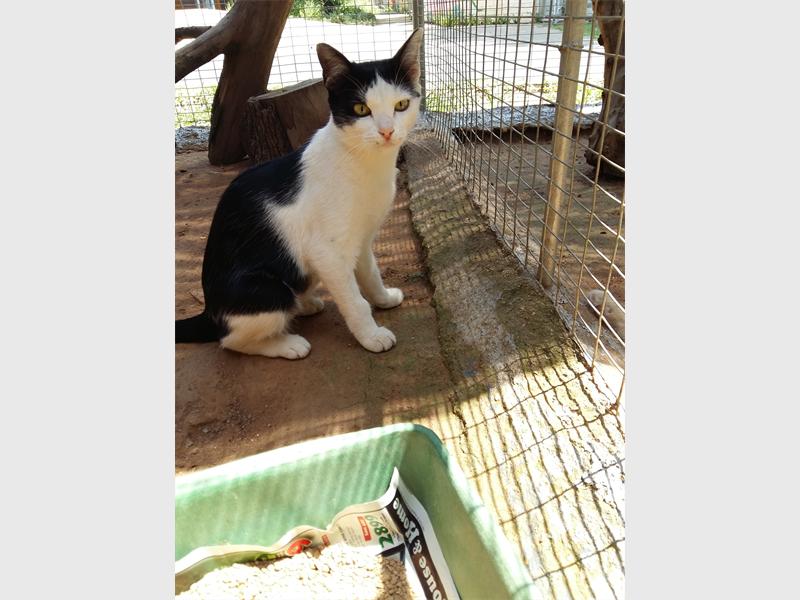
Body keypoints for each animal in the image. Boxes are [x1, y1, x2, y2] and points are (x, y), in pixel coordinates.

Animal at [175, 29, 423, 360]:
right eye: (361, 109)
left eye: (401, 105)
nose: (386, 132)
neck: (365, 163)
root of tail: (209, 310)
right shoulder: (328, 251)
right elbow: (354, 301)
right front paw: (371, 336)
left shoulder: (362, 238)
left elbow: (370, 273)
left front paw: (383, 299)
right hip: (269, 289)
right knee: (229, 339)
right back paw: (287, 343)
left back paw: (306, 303)